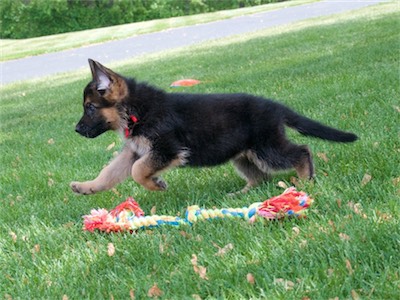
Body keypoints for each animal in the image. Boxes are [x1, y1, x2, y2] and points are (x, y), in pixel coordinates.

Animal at [70, 59, 358, 195]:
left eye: (90, 107)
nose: (77, 130)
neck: (135, 111)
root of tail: (275, 107)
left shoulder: (165, 149)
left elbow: (137, 171)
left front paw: (157, 184)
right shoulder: (135, 150)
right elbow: (111, 172)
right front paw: (87, 186)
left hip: (266, 148)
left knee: (302, 151)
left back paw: (305, 179)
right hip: (244, 154)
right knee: (259, 177)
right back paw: (241, 193)